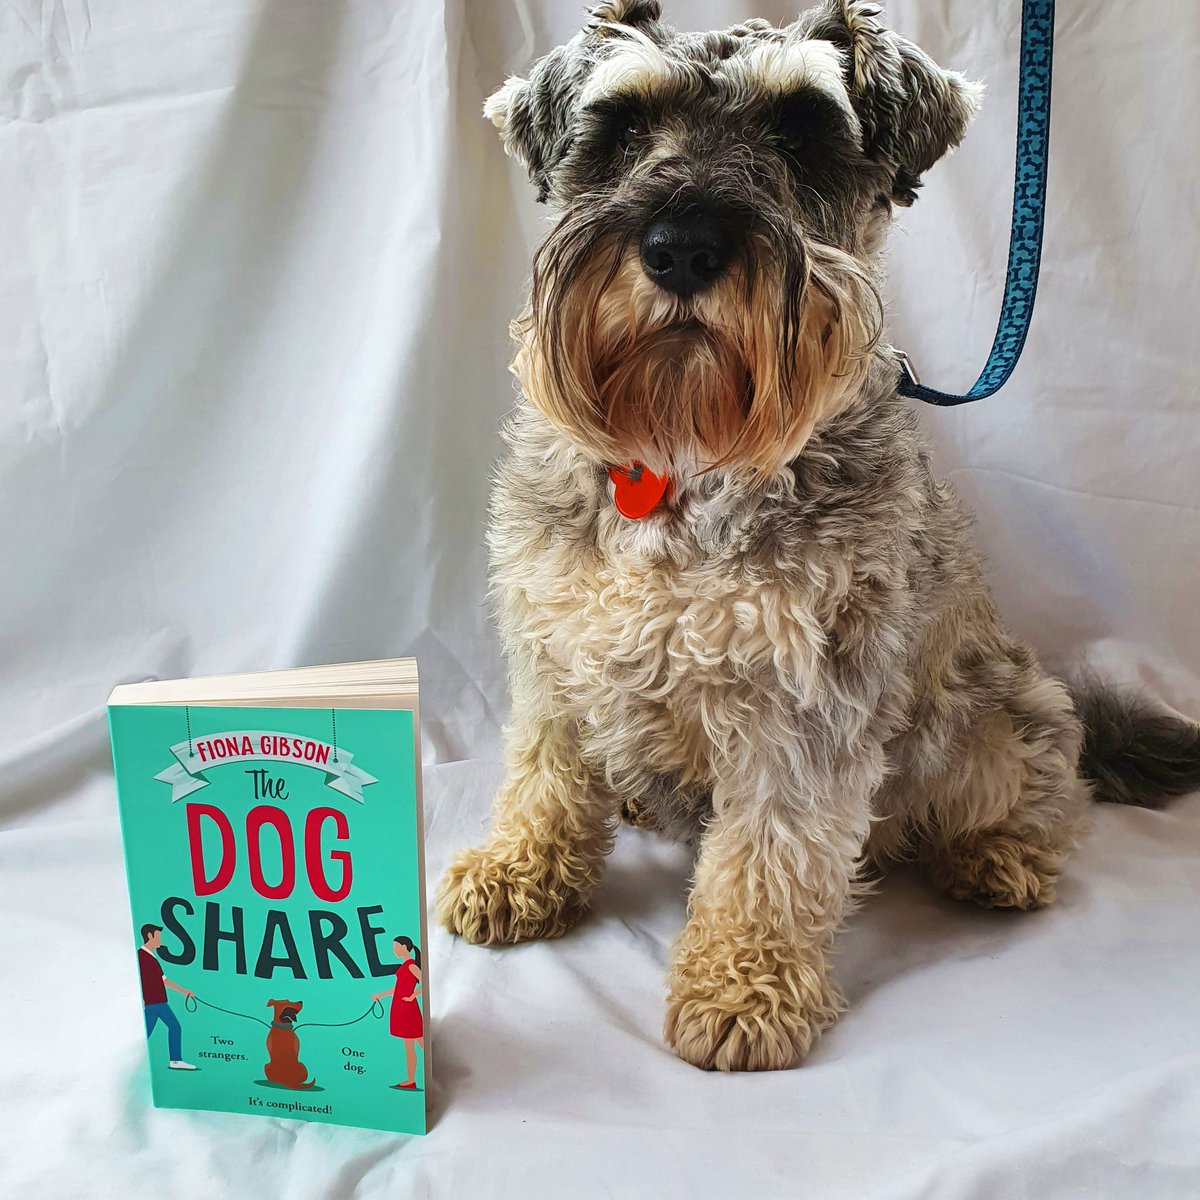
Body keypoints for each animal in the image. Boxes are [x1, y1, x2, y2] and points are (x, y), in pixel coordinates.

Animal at [437, 0, 1200, 1071]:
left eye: (802, 131)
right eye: (622, 128)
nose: (681, 246)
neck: (679, 461)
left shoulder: (805, 696)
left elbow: (771, 850)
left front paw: (743, 985)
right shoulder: (553, 645)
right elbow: (542, 769)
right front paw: (520, 868)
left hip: (1000, 718)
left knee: (1045, 789)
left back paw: (1000, 856)